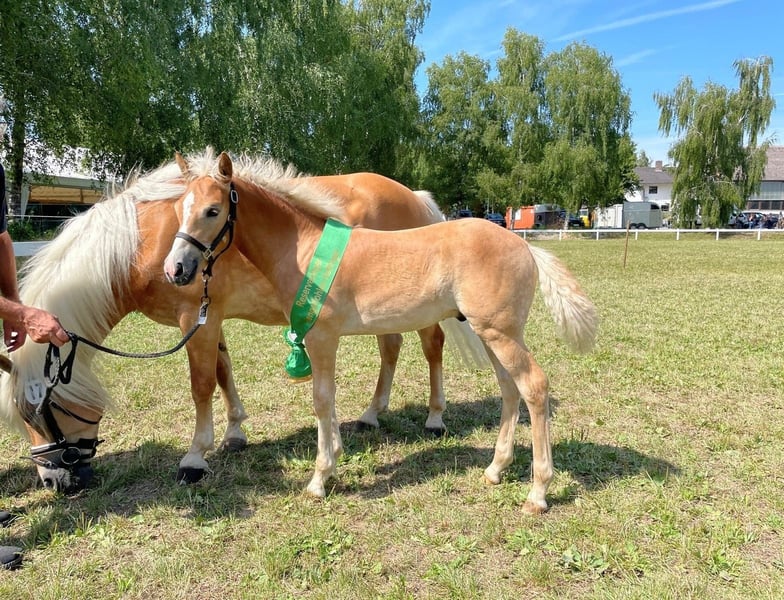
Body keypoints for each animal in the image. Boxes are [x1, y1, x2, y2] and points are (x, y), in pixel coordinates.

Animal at [0, 148, 486, 493]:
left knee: (432, 347)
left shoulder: (194, 320)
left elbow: (200, 385)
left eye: (40, 411)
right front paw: (234, 432)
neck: (142, 242)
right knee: (392, 348)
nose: (54, 483)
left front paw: (195, 457)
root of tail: (415, 197)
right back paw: (371, 413)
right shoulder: (207, 318)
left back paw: (435, 418)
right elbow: (222, 372)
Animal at [164, 152, 598, 513]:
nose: (176, 269)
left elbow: (321, 400)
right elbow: (328, 400)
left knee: (534, 387)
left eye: (213, 210)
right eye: (178, 208)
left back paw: (537, 493)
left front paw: (320, 478)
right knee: (510, 389)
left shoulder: (320, 337)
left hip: (500, 333)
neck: (303, 250)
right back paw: (495, 469)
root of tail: (526, 248)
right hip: (493, 333)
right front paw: (335, 461)